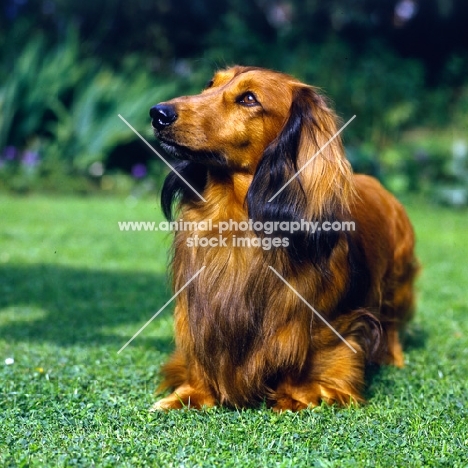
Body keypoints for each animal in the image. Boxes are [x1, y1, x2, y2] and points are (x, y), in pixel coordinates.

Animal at [149, 65, 416, 410]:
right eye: (210, 84)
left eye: (249, 98)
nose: (158, 113)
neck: (236, 221)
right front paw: (189, 393)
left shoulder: (331, 327)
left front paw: (294, 397)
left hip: (396, 284)